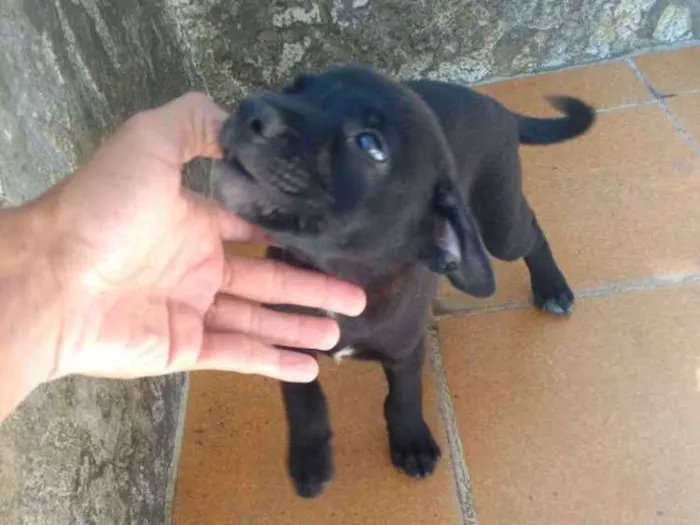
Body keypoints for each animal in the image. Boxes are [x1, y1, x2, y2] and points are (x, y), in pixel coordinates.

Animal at [213, 64, 596, 496]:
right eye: (296, 86)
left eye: (369, 144)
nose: (251, 109)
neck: (343, 272)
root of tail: (494, 104)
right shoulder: (291, 337)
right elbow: (302, 399)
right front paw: (310, 459)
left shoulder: (406, 349)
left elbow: (404, 397)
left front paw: (411, 441)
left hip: (500, 224)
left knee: (530, 230)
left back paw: (552, 286)